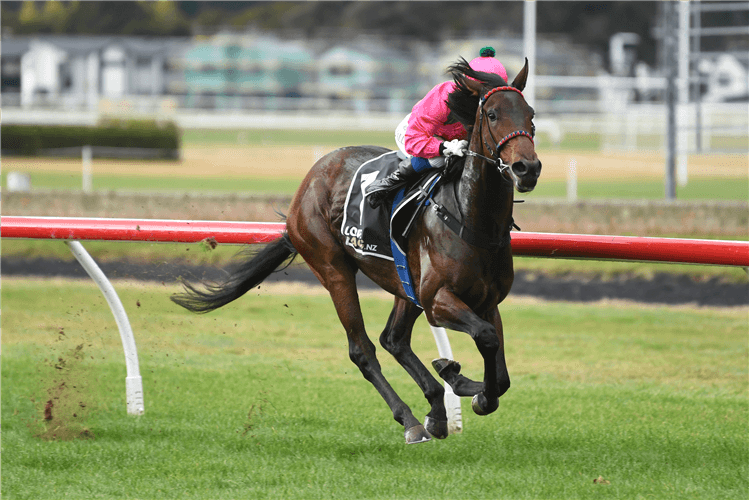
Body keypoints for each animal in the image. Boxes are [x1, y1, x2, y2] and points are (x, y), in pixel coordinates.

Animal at [172, 57, 542, 444]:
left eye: (531, 115)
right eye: (493, 115)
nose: (527, 168)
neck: (472, 219)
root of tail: (307, 184)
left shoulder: (486, 302)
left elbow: (499, 370)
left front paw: (465, 382)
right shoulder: (437, 299)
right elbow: (485, 339)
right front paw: (462, 381)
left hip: (403, 284)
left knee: (393, 339)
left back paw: (438, 404)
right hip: (334, 270)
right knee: (363, 349)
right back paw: (411, 419)